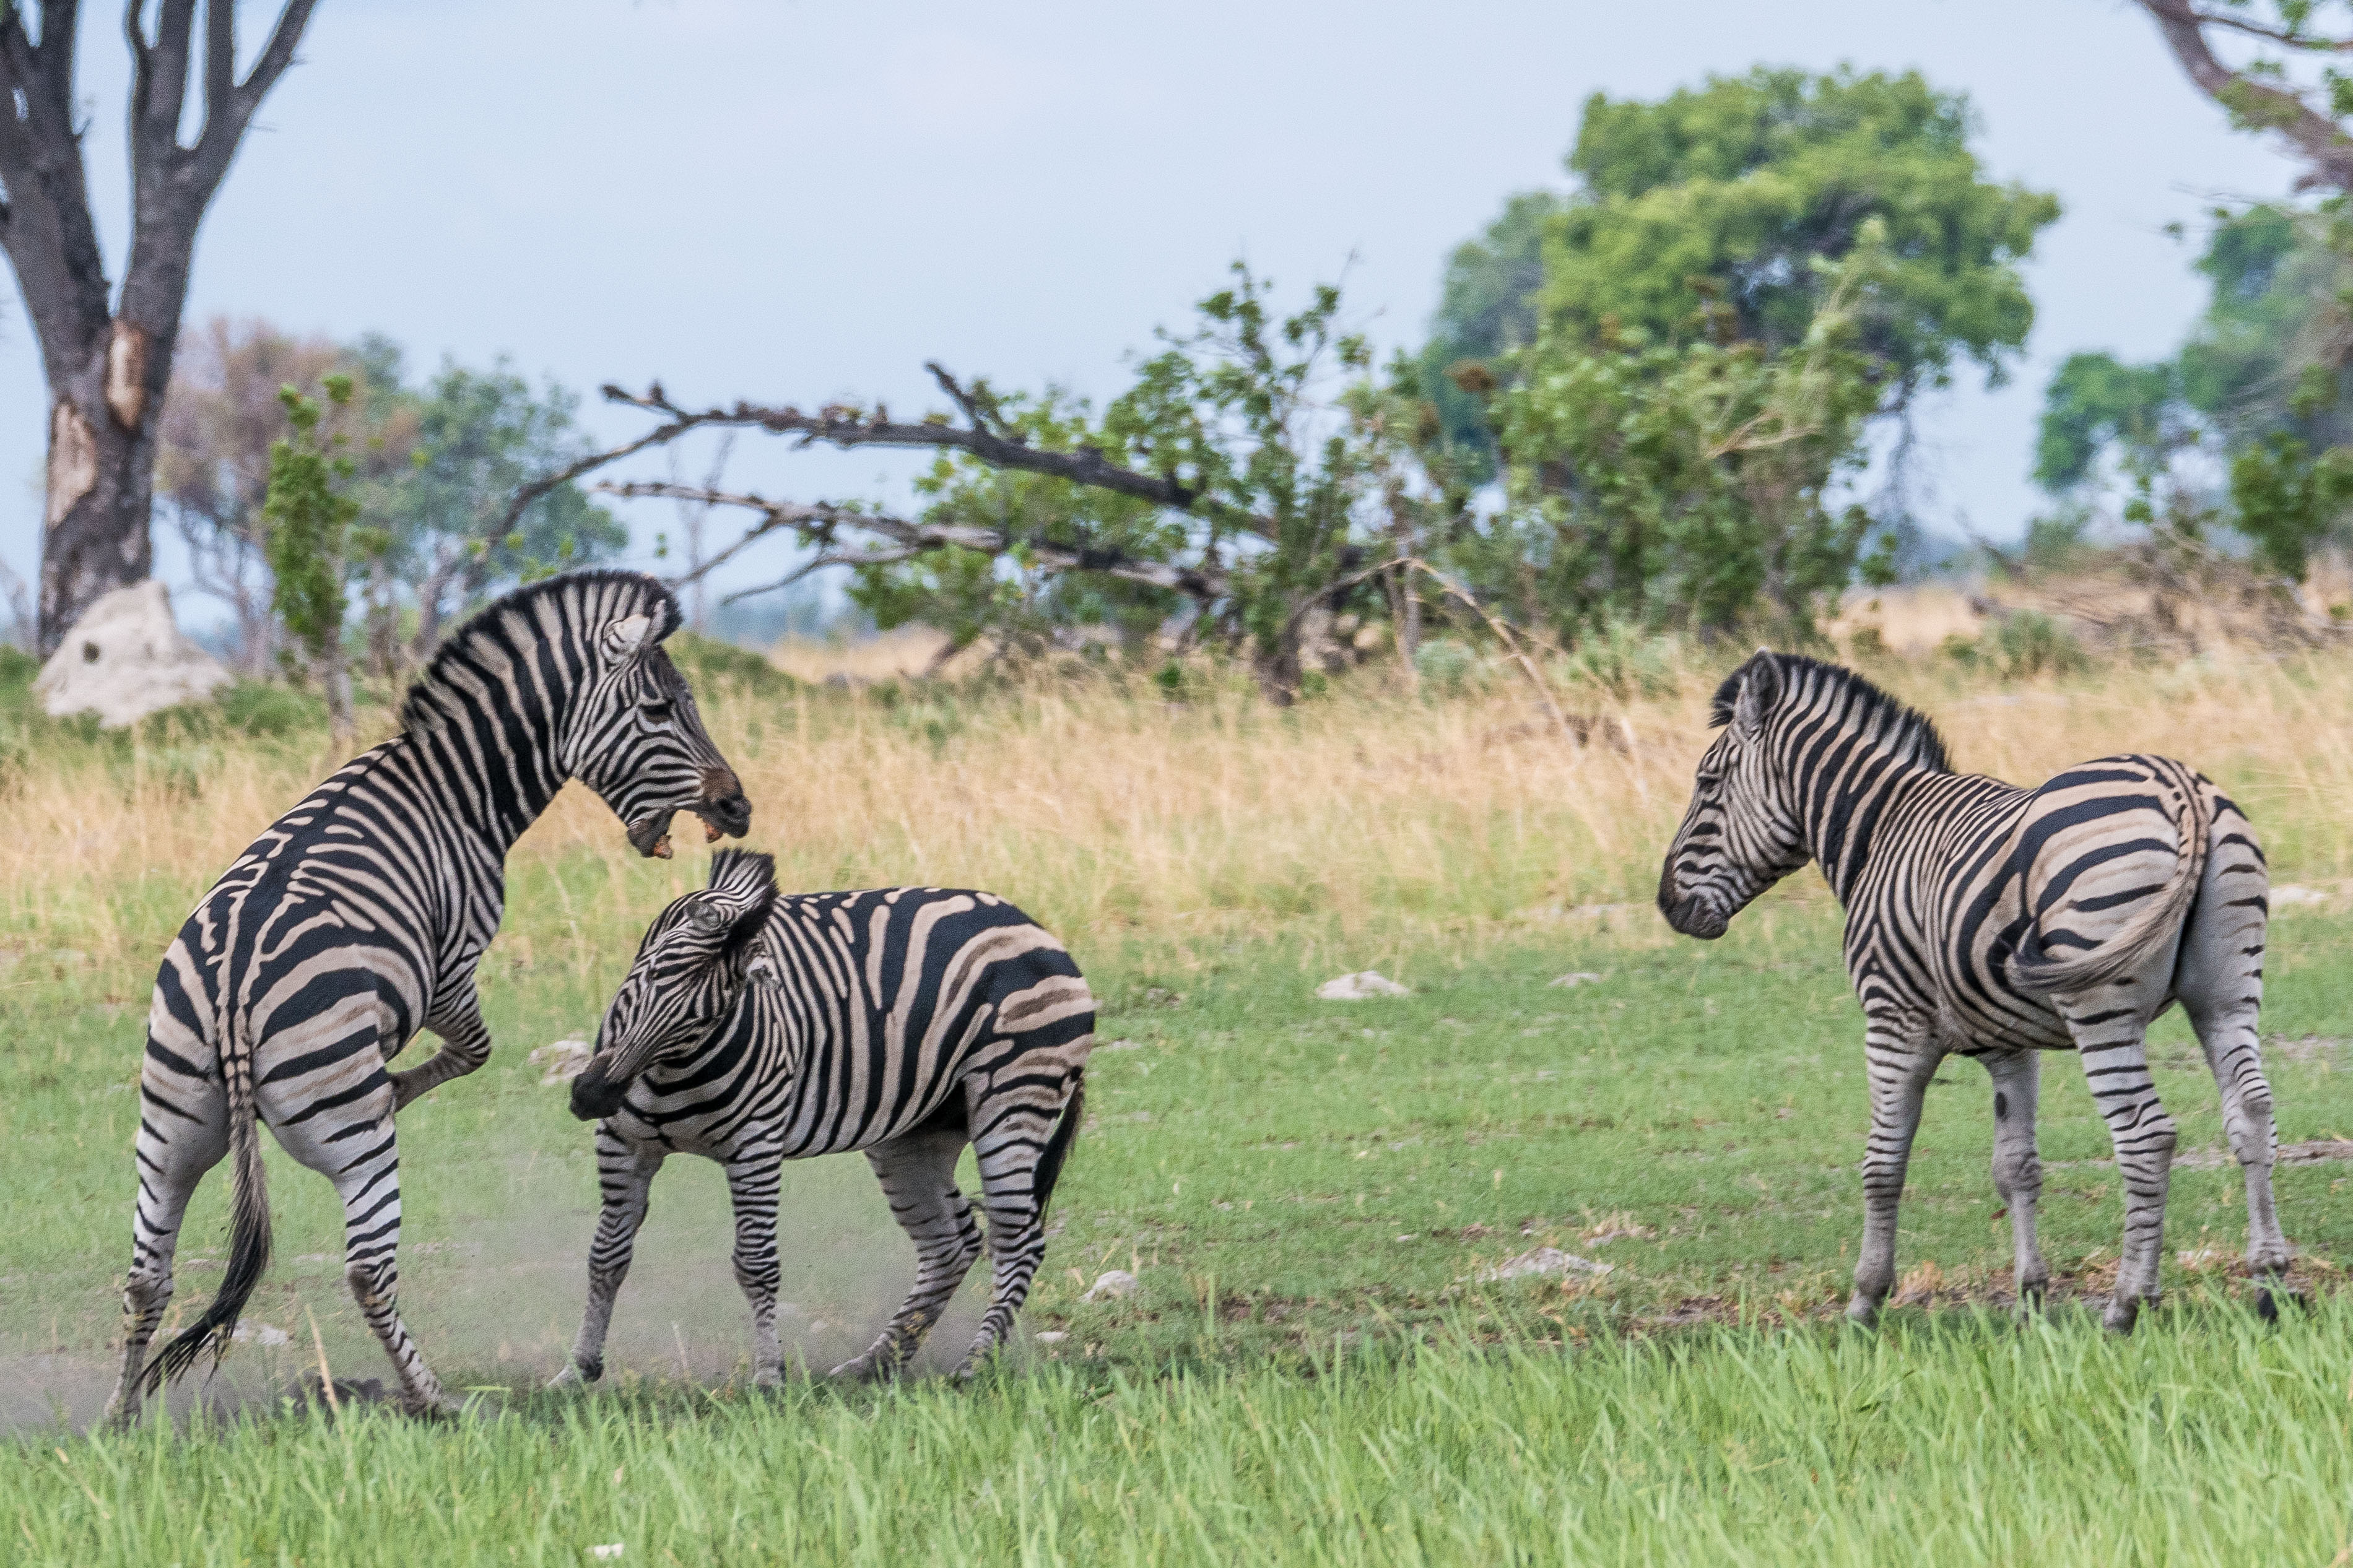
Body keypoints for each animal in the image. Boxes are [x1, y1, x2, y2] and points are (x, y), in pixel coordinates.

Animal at [106, 571, 748, 1429]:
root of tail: (236, 980)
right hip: (352, 1139)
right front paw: (399, 1084)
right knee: (367, 1269)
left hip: (171, 1125)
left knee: (147, 1274)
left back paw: (120, 1417)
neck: (460, 788)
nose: (738, 806)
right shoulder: (451, 964)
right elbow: (475, 1049)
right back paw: (436, 1399)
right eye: (658, 708)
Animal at [557, 851, 1092, 1392]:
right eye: (646, 974)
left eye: (707, 1016)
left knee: (1018, 1240)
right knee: (951, 1243)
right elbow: (606, 1256)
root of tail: (1030, 923)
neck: (673, 1067)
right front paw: (578, 1367)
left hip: (1014, 1095)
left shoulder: (756, 1144)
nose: (594, 1094)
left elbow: (756, 1263)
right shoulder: (622, 1141)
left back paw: (974, 1363)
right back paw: (875, 1361)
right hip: (914, 1133)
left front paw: (768, 1375)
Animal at [1647, 658, 2287, 1335]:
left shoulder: (1891, 1021)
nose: (1667, 905)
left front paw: (1864, 1300)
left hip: (2099, 1006)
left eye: (1707, 782)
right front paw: (2030, 1297)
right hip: (2225, 992)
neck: (1880, 831)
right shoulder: (2009, 1043)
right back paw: (2269, 1282)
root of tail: (2177, 783)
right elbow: (2016, 1167)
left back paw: (2124, 1304)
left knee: (2145, 1135)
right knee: (2250, 1111)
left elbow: (1882, 1164)